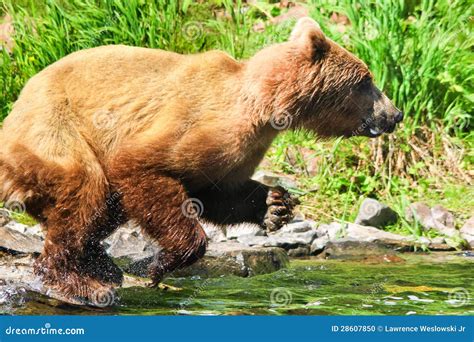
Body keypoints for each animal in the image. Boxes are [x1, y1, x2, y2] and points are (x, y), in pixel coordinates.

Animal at [0, 17, 400, 304]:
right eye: (366, 80)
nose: (395, 114)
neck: (265, 106)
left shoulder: (237, 150)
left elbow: (218, 191)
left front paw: (275, 205)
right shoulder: (199, 124)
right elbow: (141, 164)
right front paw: (158, 265)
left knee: (103, 207)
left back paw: (100, 266)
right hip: (54, 127)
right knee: (85, 189)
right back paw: (79, 282)